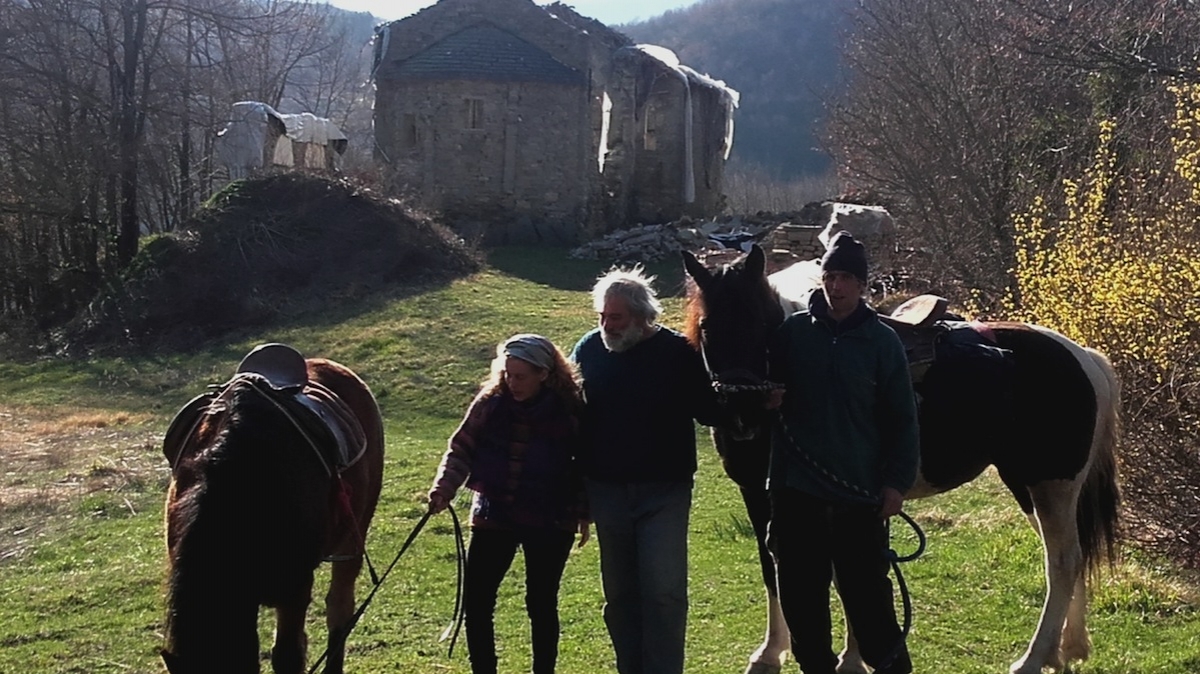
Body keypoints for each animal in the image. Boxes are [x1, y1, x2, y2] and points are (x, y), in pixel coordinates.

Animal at [686, 243, 1123, 671]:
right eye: (707, 328)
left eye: (761, 325)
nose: (743, 414)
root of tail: (1084, 356)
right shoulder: (760, 493)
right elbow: (778, 568)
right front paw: (779, 653)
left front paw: (842, 658)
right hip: (1028, 485)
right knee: (1069, 556)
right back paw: (1065, 649)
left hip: (1051, 484)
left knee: (1063, 561)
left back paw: (1033, 658)